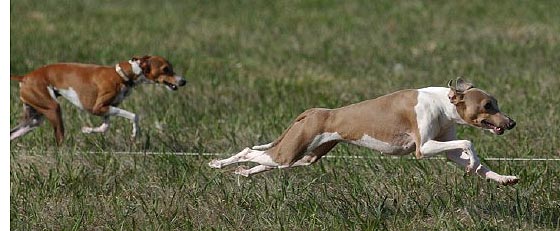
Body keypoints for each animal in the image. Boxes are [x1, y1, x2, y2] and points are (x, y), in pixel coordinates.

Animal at [9, 55, 187, 144]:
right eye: (166, 69)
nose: (183, 81)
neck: (122, 75)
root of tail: (25, 77)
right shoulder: (98, 107)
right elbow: (134, 115)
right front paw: (134, 134)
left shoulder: (107, 110)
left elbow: (105, 127)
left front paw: (88, 130)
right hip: (53, 109)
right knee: (59, 140)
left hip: (33, 119)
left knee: (12, 133)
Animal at [210, 77, 520, 186]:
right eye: (488, 105)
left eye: (495, 103)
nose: (511, 123)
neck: (444, 103)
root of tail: (314, 111)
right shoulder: (423, 148)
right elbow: (468, 142)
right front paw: (474, 163)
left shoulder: (444, 147)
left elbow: (471, 158)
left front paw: (503, 178)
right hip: (289, 151)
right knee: (248, 150)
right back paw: (219, 163)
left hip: (302, 157)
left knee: (261, 162)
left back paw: (242, 173)